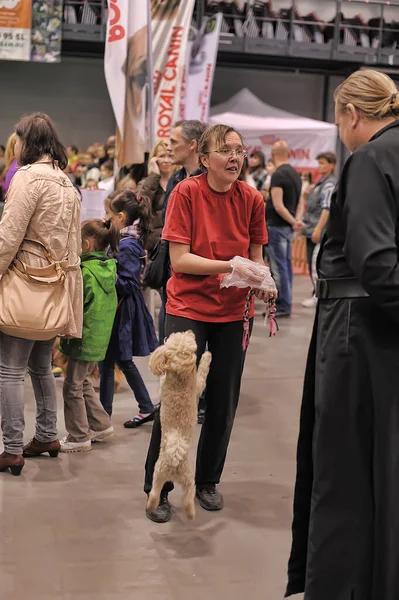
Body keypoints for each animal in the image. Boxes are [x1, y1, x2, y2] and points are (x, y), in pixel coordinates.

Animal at [148, 330, 212, 516]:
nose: (190, 331)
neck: (179, 376)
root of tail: (174, 466)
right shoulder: (197, 386)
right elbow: (202, 373)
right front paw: (207, 356)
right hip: (183, 477)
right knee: (187, 496)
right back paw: (189, 512)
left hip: (160, 473)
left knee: (156, 493)